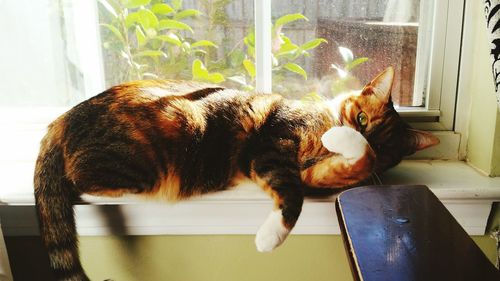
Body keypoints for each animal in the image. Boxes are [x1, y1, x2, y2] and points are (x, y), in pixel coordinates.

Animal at [33, 66, 438, 278]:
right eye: (362, 118)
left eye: (386, 148)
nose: (360, 133)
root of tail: (60, 119)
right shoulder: (270, 146)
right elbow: (290, 190)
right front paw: (272, 236)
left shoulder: (315, 174)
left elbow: (350, 166)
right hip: (169, 131)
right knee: (82, 180)